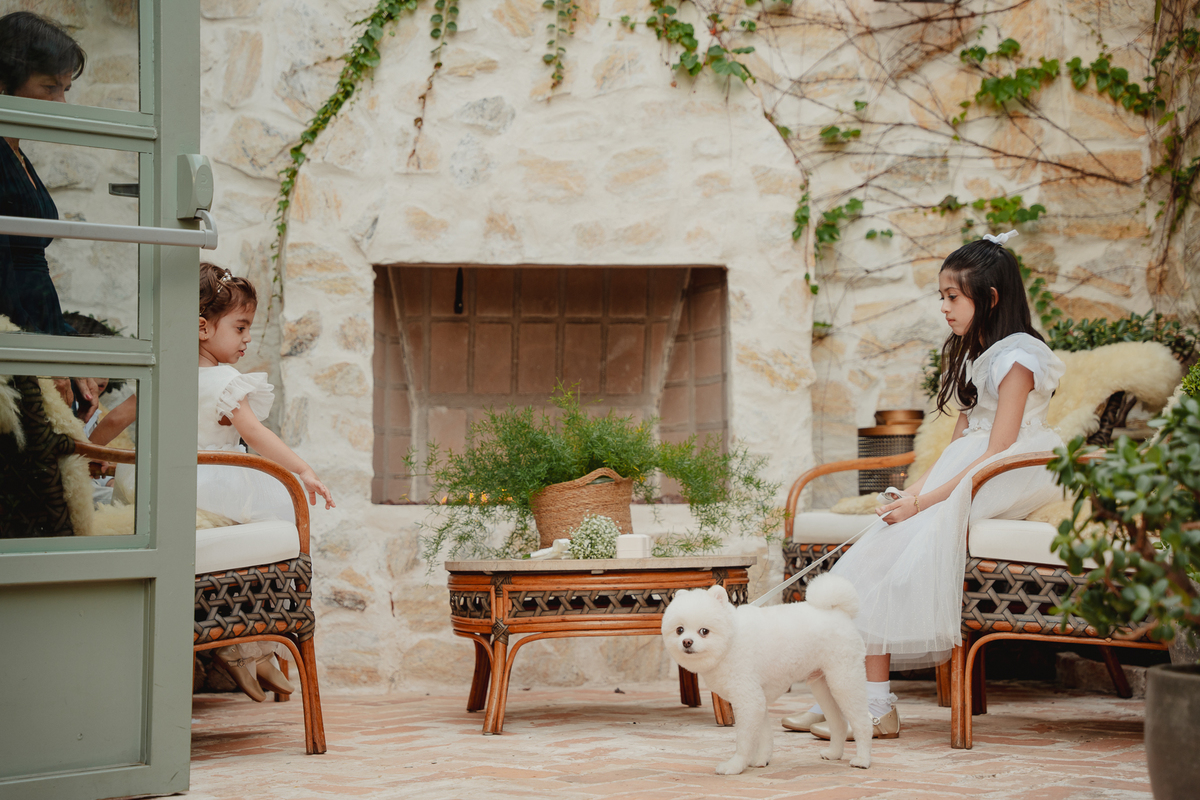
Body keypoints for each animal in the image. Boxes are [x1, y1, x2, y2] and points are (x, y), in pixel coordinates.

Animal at [660, 573, 873, 773]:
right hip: (823, 686)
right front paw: (762, 759)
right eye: (679, 630)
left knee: (862, 722)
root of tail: (839, 612)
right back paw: (834, 753)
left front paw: (735, 765)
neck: (732, 640)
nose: (687, 642)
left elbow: (745, 740)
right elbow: (764, 735)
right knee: (839, 723)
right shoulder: (757, 699)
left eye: (704, 631)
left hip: (844, 681)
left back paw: (863, 759)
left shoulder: (748, 699)